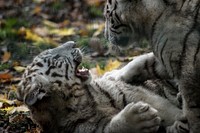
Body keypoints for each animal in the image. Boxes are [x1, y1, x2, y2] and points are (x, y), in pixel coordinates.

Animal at [17, 41, 188, 133]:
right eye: (57, 57)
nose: (73, 43)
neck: (79, 100)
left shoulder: (133, 92)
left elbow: (168, 111)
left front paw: (181, 117)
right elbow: (112, 128)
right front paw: (141, 118)